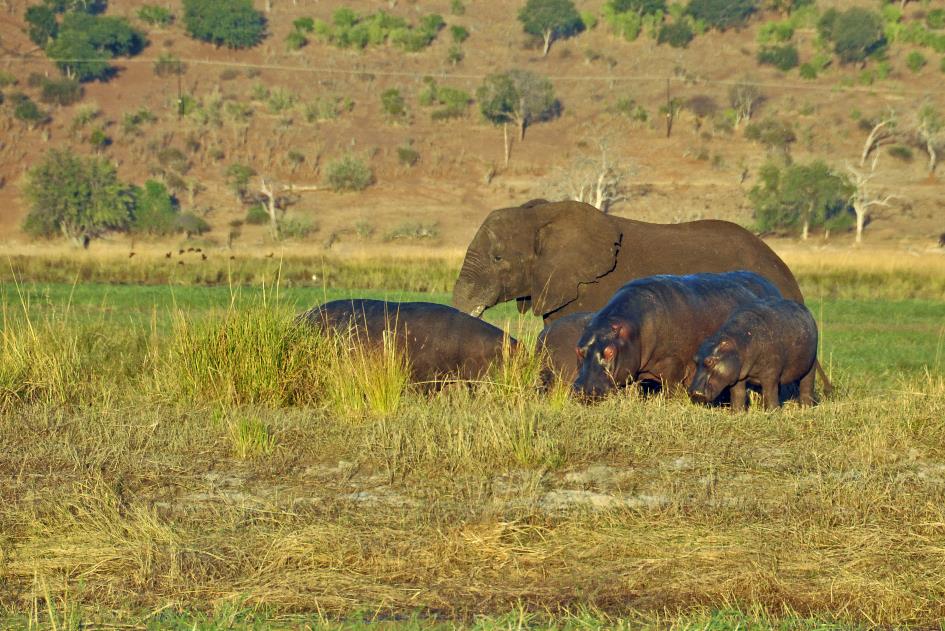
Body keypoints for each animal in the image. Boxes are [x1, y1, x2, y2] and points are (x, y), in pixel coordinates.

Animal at [572, 272, 784, 400]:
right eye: (579, 350)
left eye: (609, 351)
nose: (581, 388)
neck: (634, 326)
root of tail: (772, 286)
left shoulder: (674, 364)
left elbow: (671, 388)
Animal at [684, 298, 820, 412]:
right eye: (695, 359)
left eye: (710, 361)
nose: (694, 392)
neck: (738, 344)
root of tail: (806, 310)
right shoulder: (738, 375)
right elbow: (737, 394)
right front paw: (737, 413)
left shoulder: (770, 374)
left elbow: (769, 392)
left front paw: (773, 412)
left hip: (810, 365)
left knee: (806, 385)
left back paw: (806, 408)